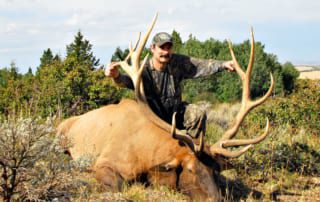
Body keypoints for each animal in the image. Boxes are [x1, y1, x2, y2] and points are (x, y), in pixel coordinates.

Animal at [56, 13, 274, 200]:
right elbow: (119, 185)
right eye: (190, 169)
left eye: (217, 170)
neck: (145, 155)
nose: (216, 199)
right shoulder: (104, 161)